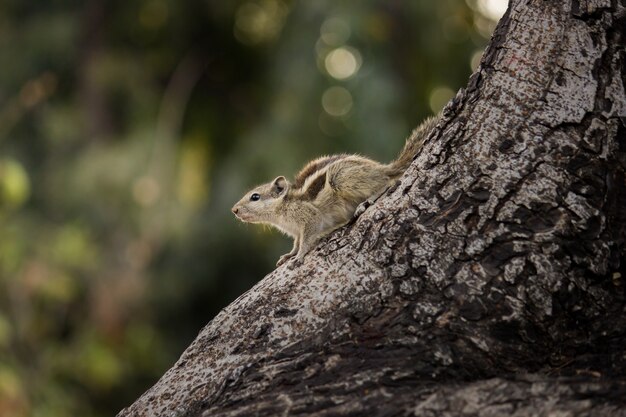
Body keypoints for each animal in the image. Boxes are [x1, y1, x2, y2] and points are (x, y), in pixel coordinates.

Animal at [230, 114, 438, 266]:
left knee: (385, 182)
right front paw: (289, 255)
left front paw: (299, 256)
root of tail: (382, 168)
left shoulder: (308, 217)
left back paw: (368, 200)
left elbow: (305, 239)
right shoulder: (296, 231)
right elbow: (296, 242)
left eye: (255, 197)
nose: (234, 210)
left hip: (340, 178)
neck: (282, 210)